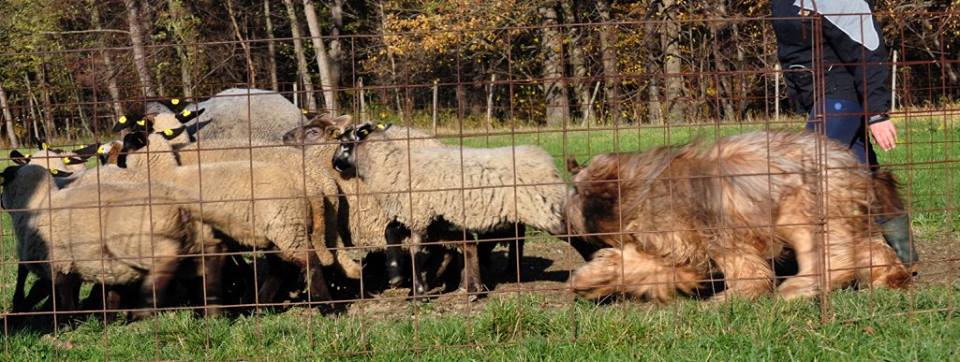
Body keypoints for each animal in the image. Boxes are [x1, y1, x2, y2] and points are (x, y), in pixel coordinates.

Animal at [330, 121, 568, 296]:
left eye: (344, 144)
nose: (334, 163)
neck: (392, 166)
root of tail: (546, 162)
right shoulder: (424, 218)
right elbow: (392, 232)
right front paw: (397, 274)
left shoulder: (418, 215)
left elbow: (416, 252)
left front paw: (417, 292)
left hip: (546, 211)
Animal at [568, 132, 912, 302]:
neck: (640, 187)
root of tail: (850, 163)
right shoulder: (677, 252)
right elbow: (639, 267)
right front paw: (590, 282)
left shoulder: (719, 235)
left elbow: (750, 272)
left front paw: (733, 298)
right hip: (845, 216)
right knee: (870, 248)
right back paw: (889, 277)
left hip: (801, 213)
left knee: (833, 257)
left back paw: (799, 288)